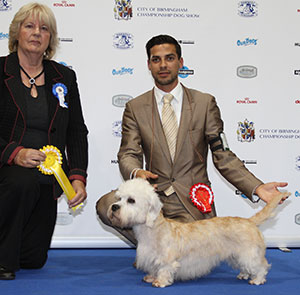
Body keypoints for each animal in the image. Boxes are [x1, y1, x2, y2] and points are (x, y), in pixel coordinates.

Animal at [108, 179, 288, 288]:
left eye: (131, 200)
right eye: (119, 198)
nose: (114, 207)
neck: (152, 229)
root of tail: (249, 221)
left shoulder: (167, 260)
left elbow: (164, 269)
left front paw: (160, 282)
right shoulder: (150, 257)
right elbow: (153, 268)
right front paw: (151, 277)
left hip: (249, 253)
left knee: (261, 266)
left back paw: (257, 279)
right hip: (236, 254)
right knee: (246, 266)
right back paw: (244, 275)